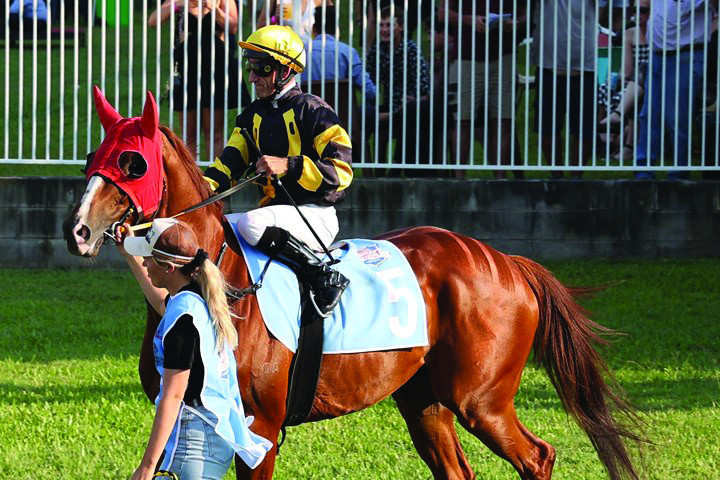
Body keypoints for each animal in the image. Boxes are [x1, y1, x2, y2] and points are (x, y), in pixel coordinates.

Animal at [63, 94, 640, 480]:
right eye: (94, 155)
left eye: (132, 162)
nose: (78, 230)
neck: (225, 284)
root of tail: (507, 262)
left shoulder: (259, 430)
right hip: (424, 400)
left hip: (481, 400)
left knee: (538, 456)